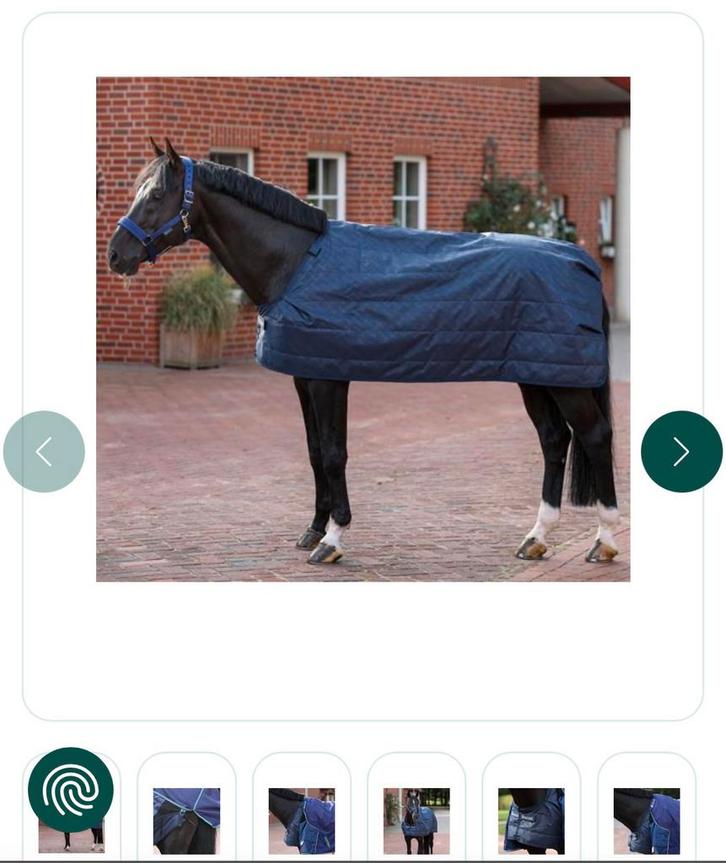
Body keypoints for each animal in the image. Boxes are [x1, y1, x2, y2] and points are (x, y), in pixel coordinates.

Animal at [107, 138, 620, 567]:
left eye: (156, 195)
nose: (116, 255)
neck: (295, 263)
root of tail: (582, 261)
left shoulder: (329, 377)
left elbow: (335, 453)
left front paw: (333, 540)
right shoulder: (305, 374)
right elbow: (315, 451)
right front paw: (313, 530)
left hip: (562, 381)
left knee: (594, 436)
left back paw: (604, 540)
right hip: (537, 373)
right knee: (554, 439)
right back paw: (536, 537)